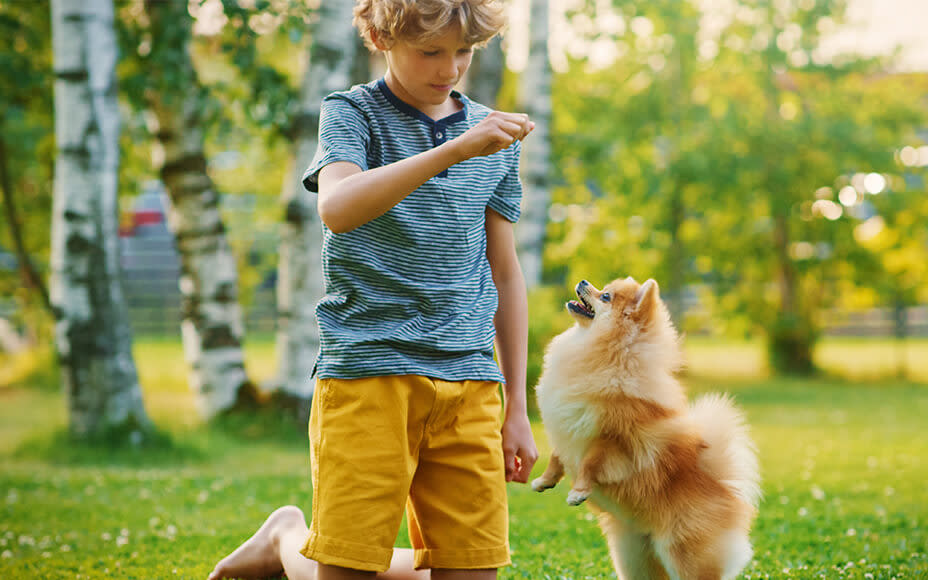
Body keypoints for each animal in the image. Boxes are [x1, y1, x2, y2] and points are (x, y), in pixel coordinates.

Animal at [532, 276, 756, 580]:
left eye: (605, 297)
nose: (583, 281)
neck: (606, 354)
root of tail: (723, 487)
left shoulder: (611, 440)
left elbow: (590, 463)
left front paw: (578, 492)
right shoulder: (565, 428)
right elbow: (556, 457)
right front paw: (543, 481)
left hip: (683, 554)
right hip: (634, 557)